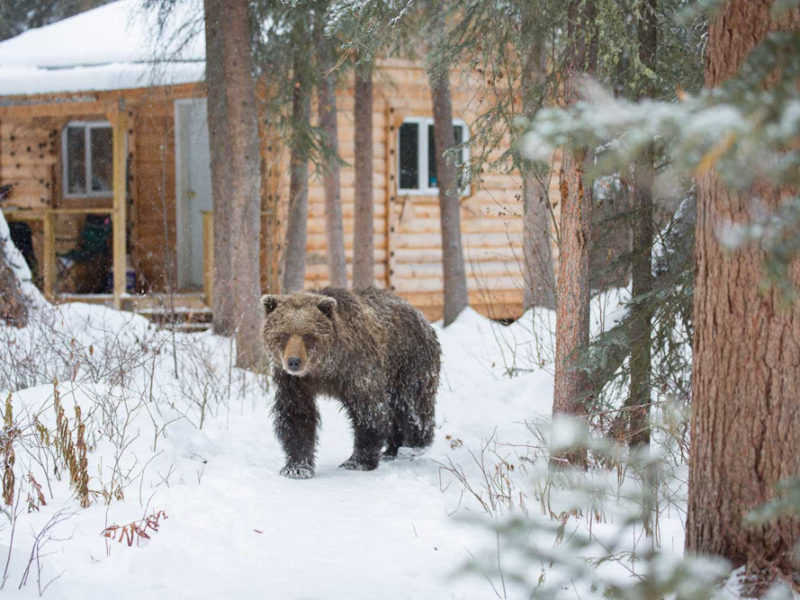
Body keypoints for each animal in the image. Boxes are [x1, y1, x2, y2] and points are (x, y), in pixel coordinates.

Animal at [260, 286, 438, 478]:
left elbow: (369, 411)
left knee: (412, 406)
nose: (294, 361)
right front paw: (296, 467)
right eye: (283, 334)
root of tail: (422, 317)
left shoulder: (356, 370)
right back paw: (392, 451)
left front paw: (357, 462)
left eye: (308, 335)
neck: (325, 368)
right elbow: (296, 415)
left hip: (408, 363)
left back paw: (414, 446)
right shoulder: (295, 382)